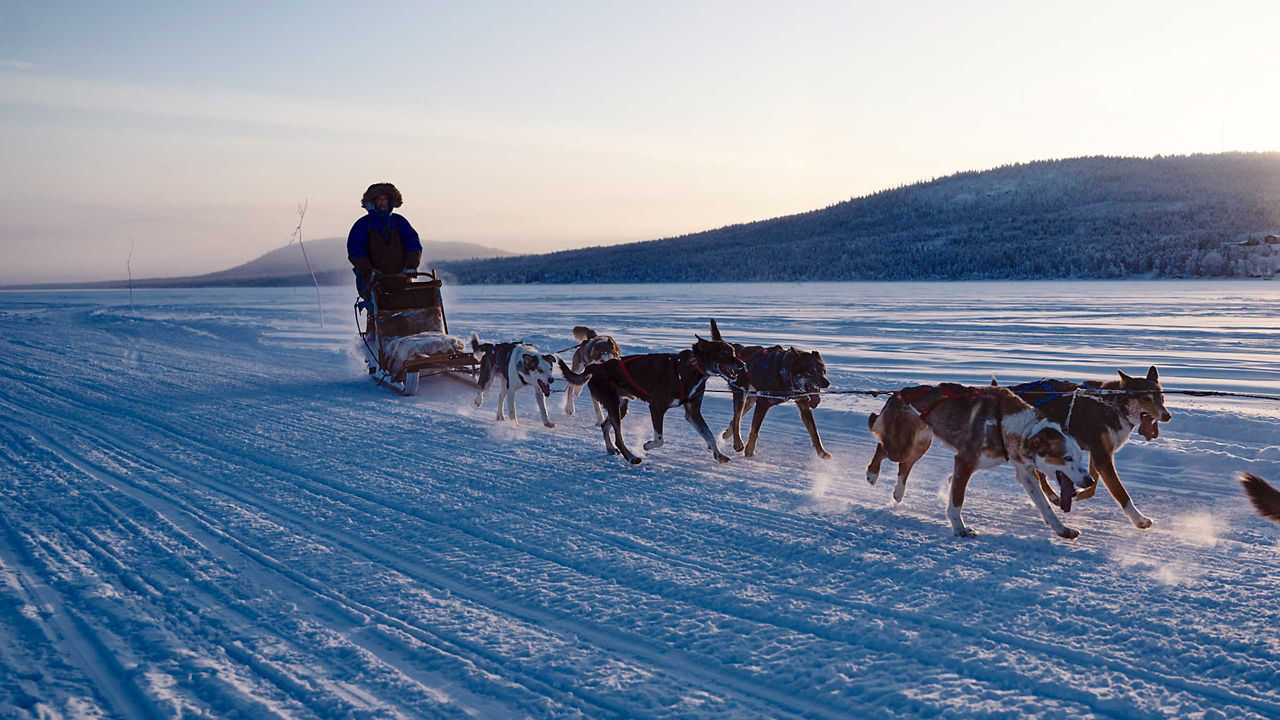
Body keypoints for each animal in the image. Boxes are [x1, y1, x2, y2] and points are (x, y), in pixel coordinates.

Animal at [706, 316, 834, 456]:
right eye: (811, 371)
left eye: (823, 371)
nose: (827, 383)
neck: (784, 372)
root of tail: (736, 352)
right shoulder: (763, 404)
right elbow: (755, 430)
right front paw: (749, 451)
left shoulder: (804, 405)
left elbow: (814, 432)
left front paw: (822, 452)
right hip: (741, 396)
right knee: (737, 419)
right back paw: (738, 443)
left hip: (750, 400)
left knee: (734, 419)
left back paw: (726, 435)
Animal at [865, 384, 1085, 535]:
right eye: (1067, 458)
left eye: (1080, 457)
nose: (1089, 480)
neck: (1004, 424)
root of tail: (898, 394)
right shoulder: (964, 462)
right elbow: (956, 501)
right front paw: (960, 529)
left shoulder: (1025, 473)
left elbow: (1044, 505)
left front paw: (1062, 529)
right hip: (901, 446)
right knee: (882, 449)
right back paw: (872, 474)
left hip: (920, 445)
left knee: (905, 465)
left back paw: (898, 493)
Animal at [1003, 366, 1172, 525]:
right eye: (1146, 398)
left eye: (1162, 398)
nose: (1167, 415)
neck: (1112, 405)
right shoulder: (1102, 455)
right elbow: (1120, 492)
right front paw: (1139, 519)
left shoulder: (1098, 453)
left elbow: (1092, 486)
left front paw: (1078, 493)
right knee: (1040, 475)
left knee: (1041, 475)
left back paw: (1054, 497)